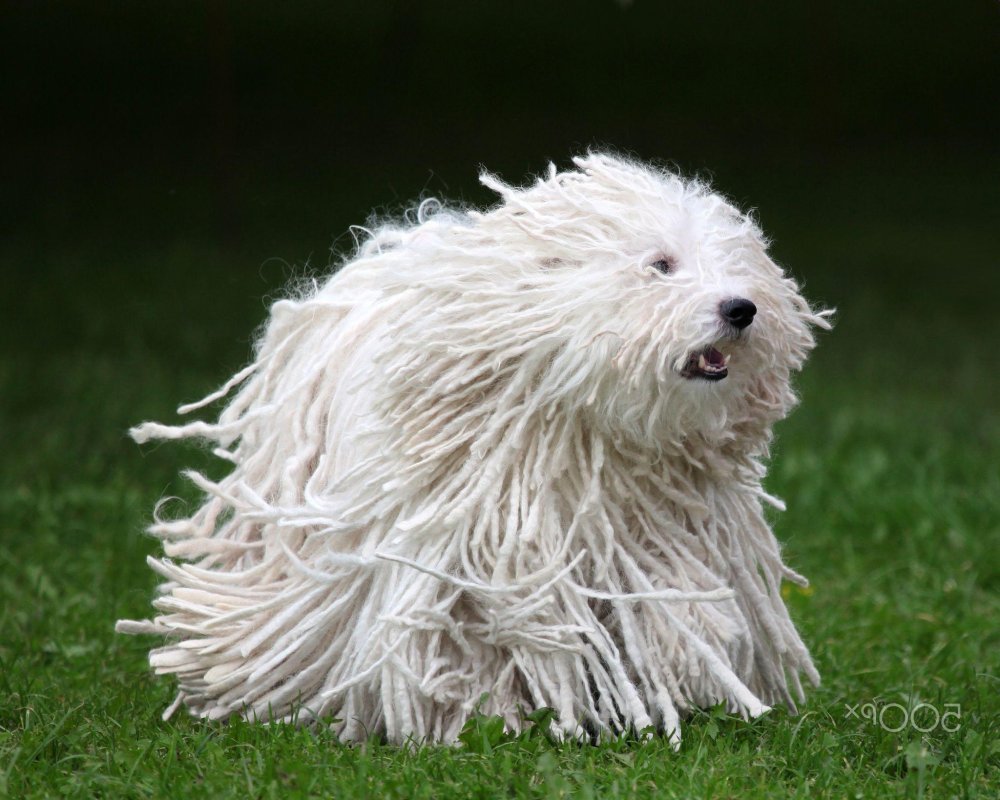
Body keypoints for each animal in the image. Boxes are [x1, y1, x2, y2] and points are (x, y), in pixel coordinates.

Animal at [121, 155, 832, 744]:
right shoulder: (448, 549)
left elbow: (674, 604)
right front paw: (475, 713)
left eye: (740, 268)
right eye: (660, 265)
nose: (740, 308)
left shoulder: (657, 531)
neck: (586, 434)